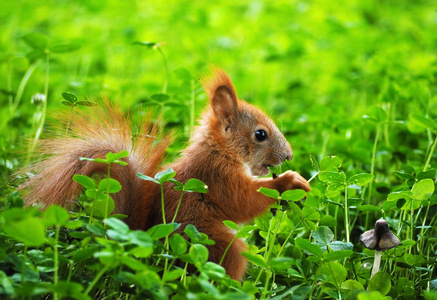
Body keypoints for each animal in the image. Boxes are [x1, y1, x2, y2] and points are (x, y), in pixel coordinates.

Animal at [23, 69, 310, 280]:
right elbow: (243, 201)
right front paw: (291, 182)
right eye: (260, 134)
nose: (289, 155)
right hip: (218, 246)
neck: (220, 150)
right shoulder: (216, 176)